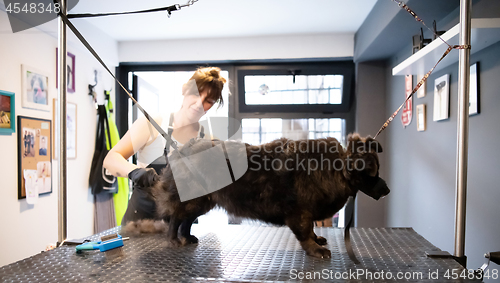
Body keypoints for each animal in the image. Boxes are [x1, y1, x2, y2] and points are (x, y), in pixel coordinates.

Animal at [152, 135, 390, 260]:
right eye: (373, 174)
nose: (387, 190)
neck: (334, 169)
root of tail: (179, 152)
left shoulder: (306, 212)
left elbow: (312, 230)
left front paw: (317, 240)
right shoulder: (299, 214)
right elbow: (306, 233)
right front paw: (315, 249)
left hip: (203, 202)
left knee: (187, 220)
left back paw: (187, 237)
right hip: (193, 201)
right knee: (176, 218)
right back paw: (174, 240)